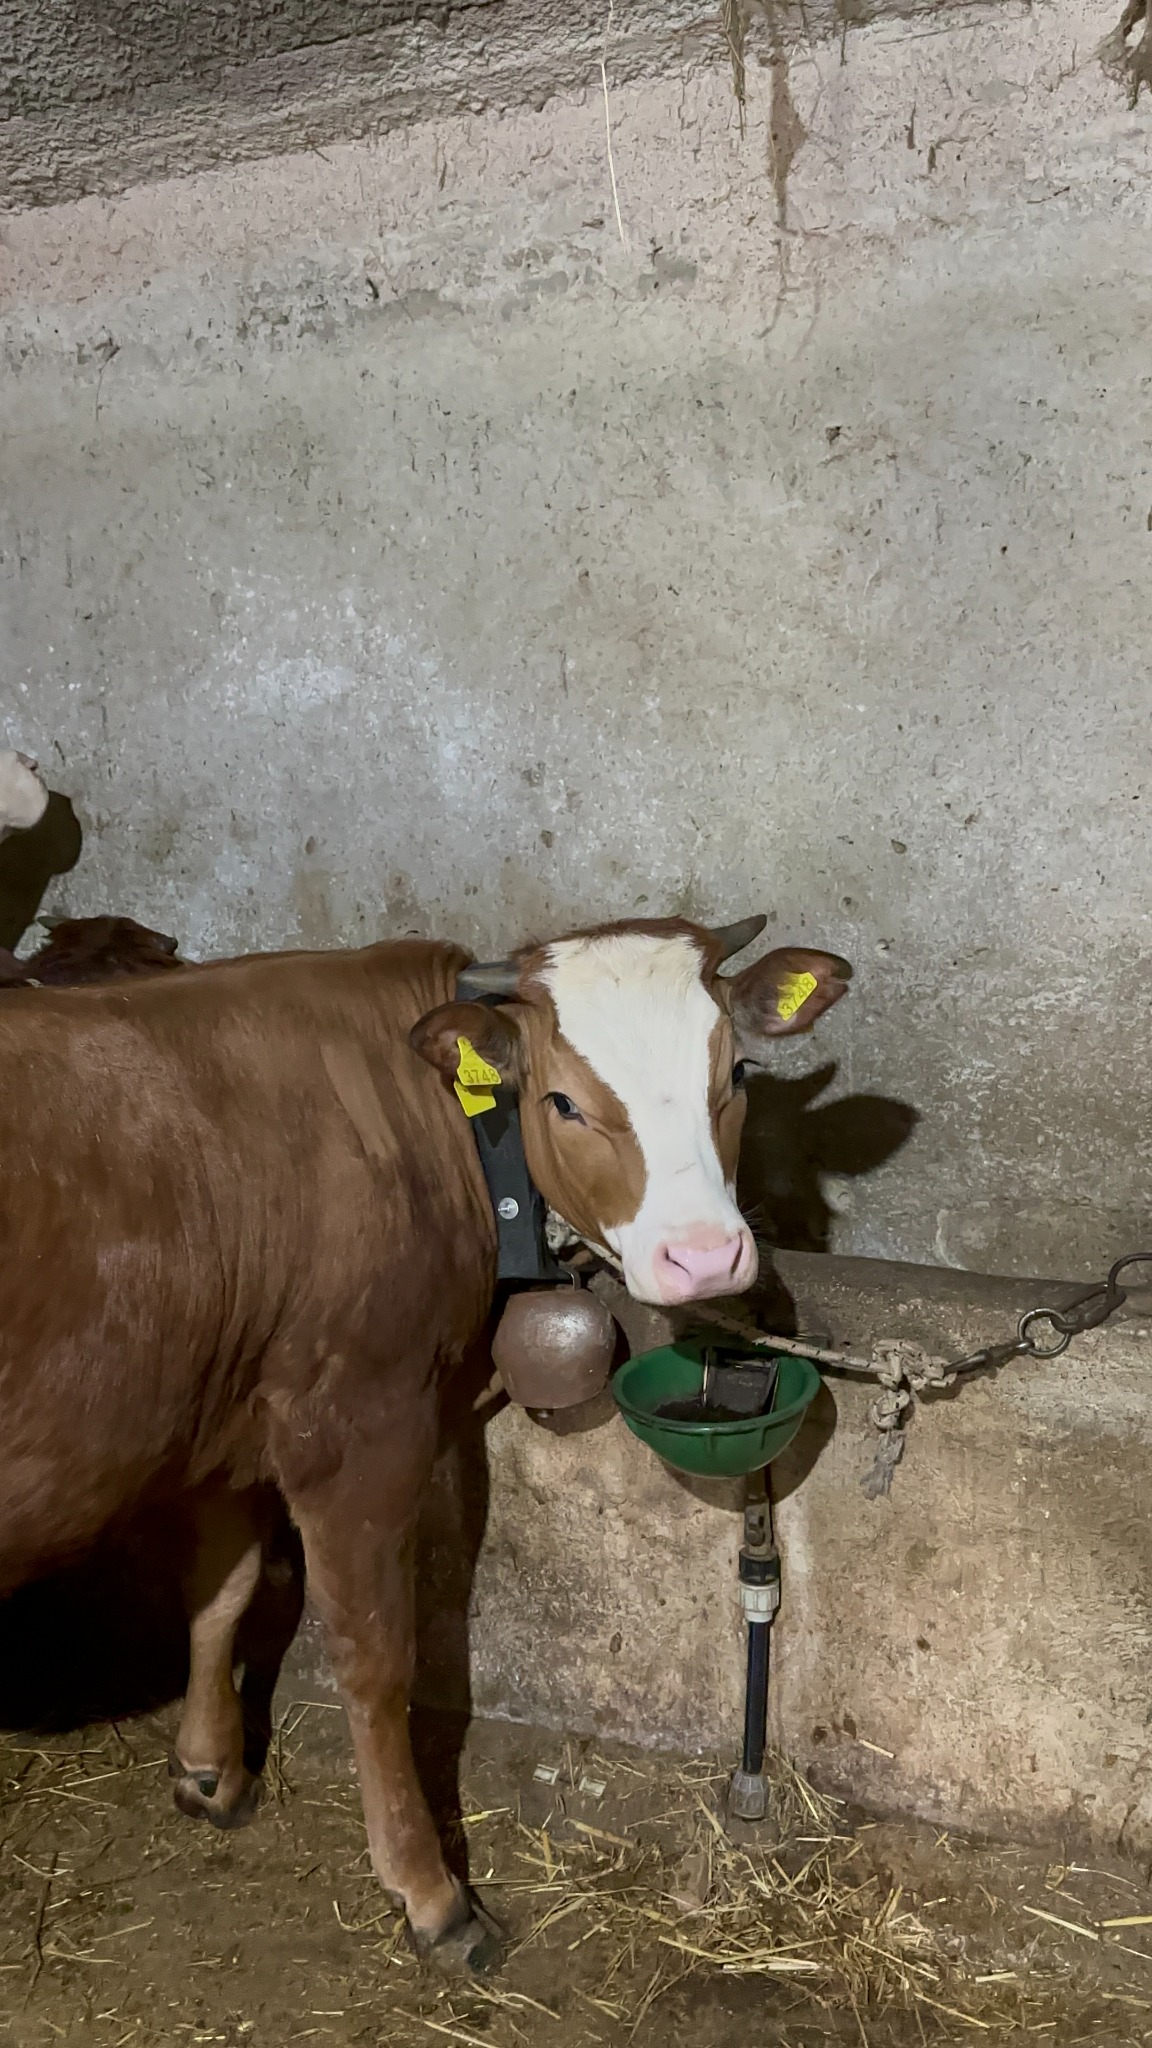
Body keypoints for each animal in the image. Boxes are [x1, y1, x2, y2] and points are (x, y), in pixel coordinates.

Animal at [0, 915, 849, 1972]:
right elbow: (375, 1657)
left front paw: (209, 1771)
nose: (702, 1257)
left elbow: (221, 1592)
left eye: (734, 1072)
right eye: (563, 1100)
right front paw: (430, 1892)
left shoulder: (232, 1402)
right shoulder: (358, 1419)